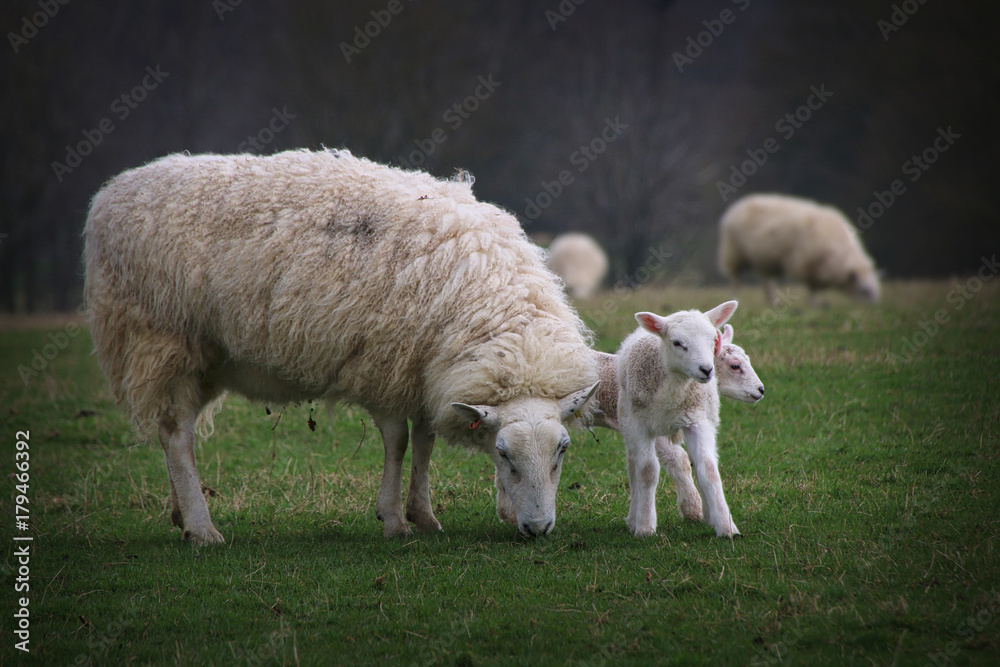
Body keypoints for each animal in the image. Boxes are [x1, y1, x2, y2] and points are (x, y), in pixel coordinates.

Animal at [84, 148, 599, 544]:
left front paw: (425, 515)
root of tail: (112, 194)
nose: (538, 528)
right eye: (505, 455)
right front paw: (393, 520)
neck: (483, 300)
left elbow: (425, 439)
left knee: (178, 431)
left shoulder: (424, 368)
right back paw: (202, 528)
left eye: (562, 451)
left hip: (207, 357)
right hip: (161, 338)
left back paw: (179, 513)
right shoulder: (386, 362)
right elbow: (398, 441)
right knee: (175, 433)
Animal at [615, 301, 740, 537]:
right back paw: (634, 517)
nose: (706, 370)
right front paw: (645, 527)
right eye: (677, 343)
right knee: (634, 467)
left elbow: (708, 470)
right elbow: (647, 471)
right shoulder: (639, 425)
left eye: (713, 340)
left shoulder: (697, 421)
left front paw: (726, 527)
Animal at [718, 194, 880, 306]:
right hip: (733, 252)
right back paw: (736, 297)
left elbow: (815, 286)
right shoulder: (807, 263)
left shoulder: (817, 267)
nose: (876, 306)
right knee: (735, 278)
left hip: (765, 259)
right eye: (865, 291)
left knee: (767, 281)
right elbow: (813, 286)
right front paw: (813, 304)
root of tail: (739, 205)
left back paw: (773, 302)